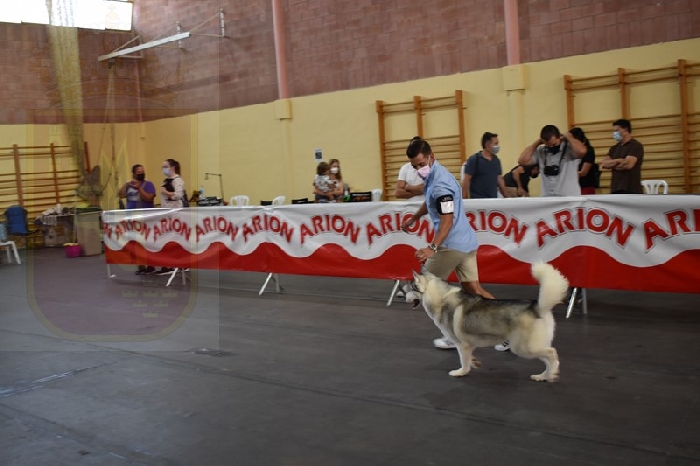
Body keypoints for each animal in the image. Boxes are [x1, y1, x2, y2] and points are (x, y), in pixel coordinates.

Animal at [409, 263, 569, 382]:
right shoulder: (468, 346)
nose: (404, 295)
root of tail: (536, 306)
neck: (440, 298)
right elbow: (469, 359)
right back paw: (543, 376)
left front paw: (461, 372)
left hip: (524, 348)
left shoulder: (462, 345)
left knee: (552, 354)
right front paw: (473, 363)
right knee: (548, 358)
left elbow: (463, 362)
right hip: (532, 346)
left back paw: (552, 373)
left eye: (410, 288)